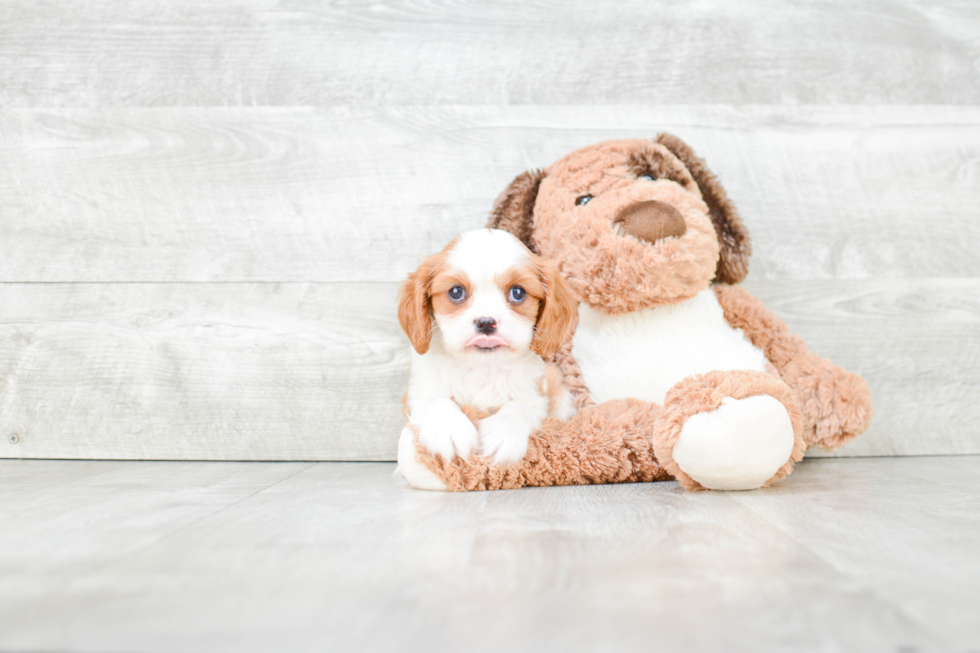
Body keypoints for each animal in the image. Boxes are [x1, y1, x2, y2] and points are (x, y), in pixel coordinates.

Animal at [396, 227, 580, 486]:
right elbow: (437, 400)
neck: (482, 366)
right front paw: (449, 429)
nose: (485, 322)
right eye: (456, 292)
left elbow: (519, 406)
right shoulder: (419, 395)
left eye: (517, 293)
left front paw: (504, 432)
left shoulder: (537, 397)